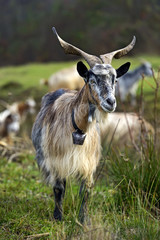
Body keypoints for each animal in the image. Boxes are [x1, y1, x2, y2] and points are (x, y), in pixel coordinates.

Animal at [31, 27, 136, 222]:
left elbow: (85, 192)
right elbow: (58, 188)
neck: (78, 128)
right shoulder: (56, 159)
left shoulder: (88, 163)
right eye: (91, 80)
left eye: (115, 80)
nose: (111, 102)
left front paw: (84, 220)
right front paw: (58, 218)